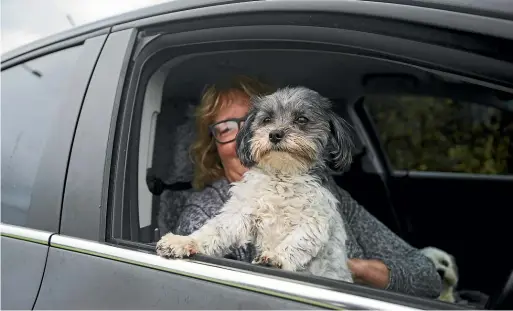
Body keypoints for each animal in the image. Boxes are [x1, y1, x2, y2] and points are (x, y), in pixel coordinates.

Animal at [157, 86, 356, 284]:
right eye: (266, 119)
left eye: (301, 119)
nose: (274, 134)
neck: (283, 175)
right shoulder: (242, 212)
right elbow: (215, 230)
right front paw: (182, 242)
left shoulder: (315, 220)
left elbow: (298, 242)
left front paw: (276, 257)